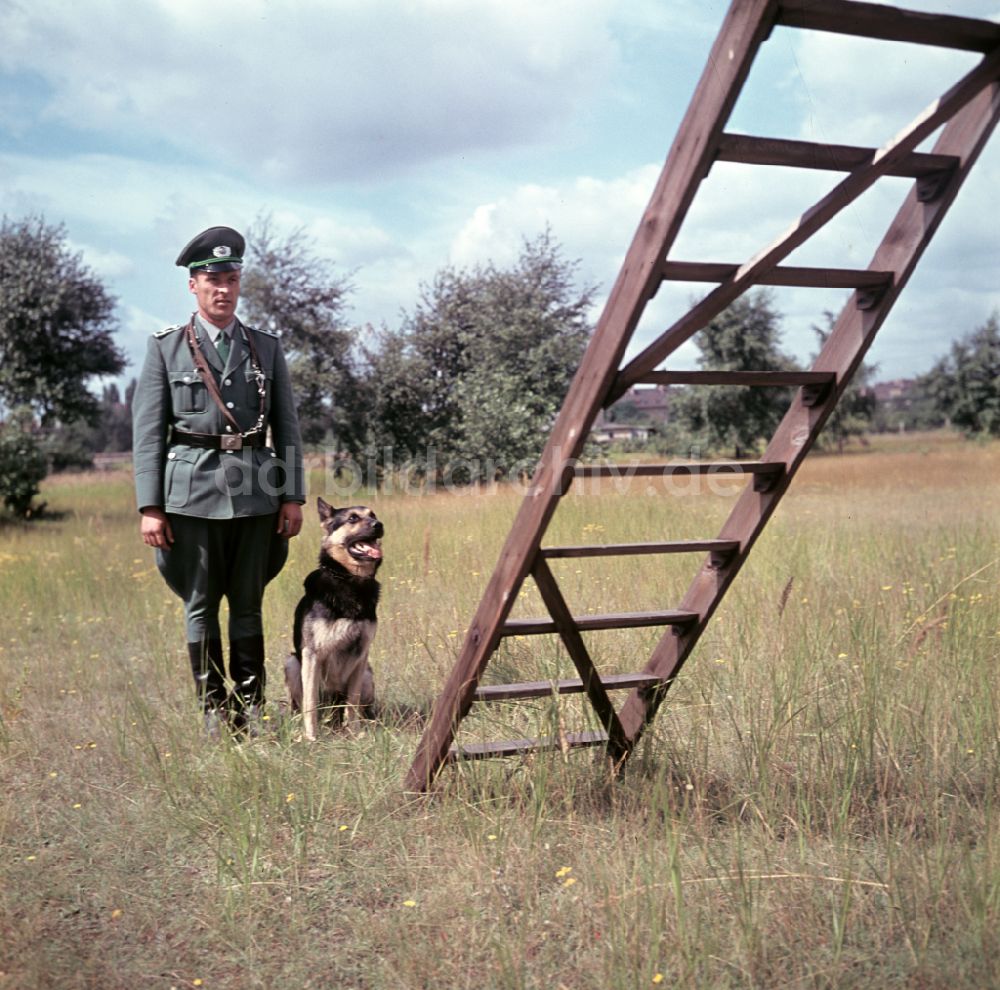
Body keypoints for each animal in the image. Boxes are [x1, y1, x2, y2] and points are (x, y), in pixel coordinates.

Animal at [290, 500, 386, 740]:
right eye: (352, 518)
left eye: (373, 515)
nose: (379, 525)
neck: (350, 580)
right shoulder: (312, 654)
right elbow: (310, 702)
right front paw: (311, 737)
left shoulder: (361, 655)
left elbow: (352, 702)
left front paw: (355, 734)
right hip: (293, 664)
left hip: (367, 674)